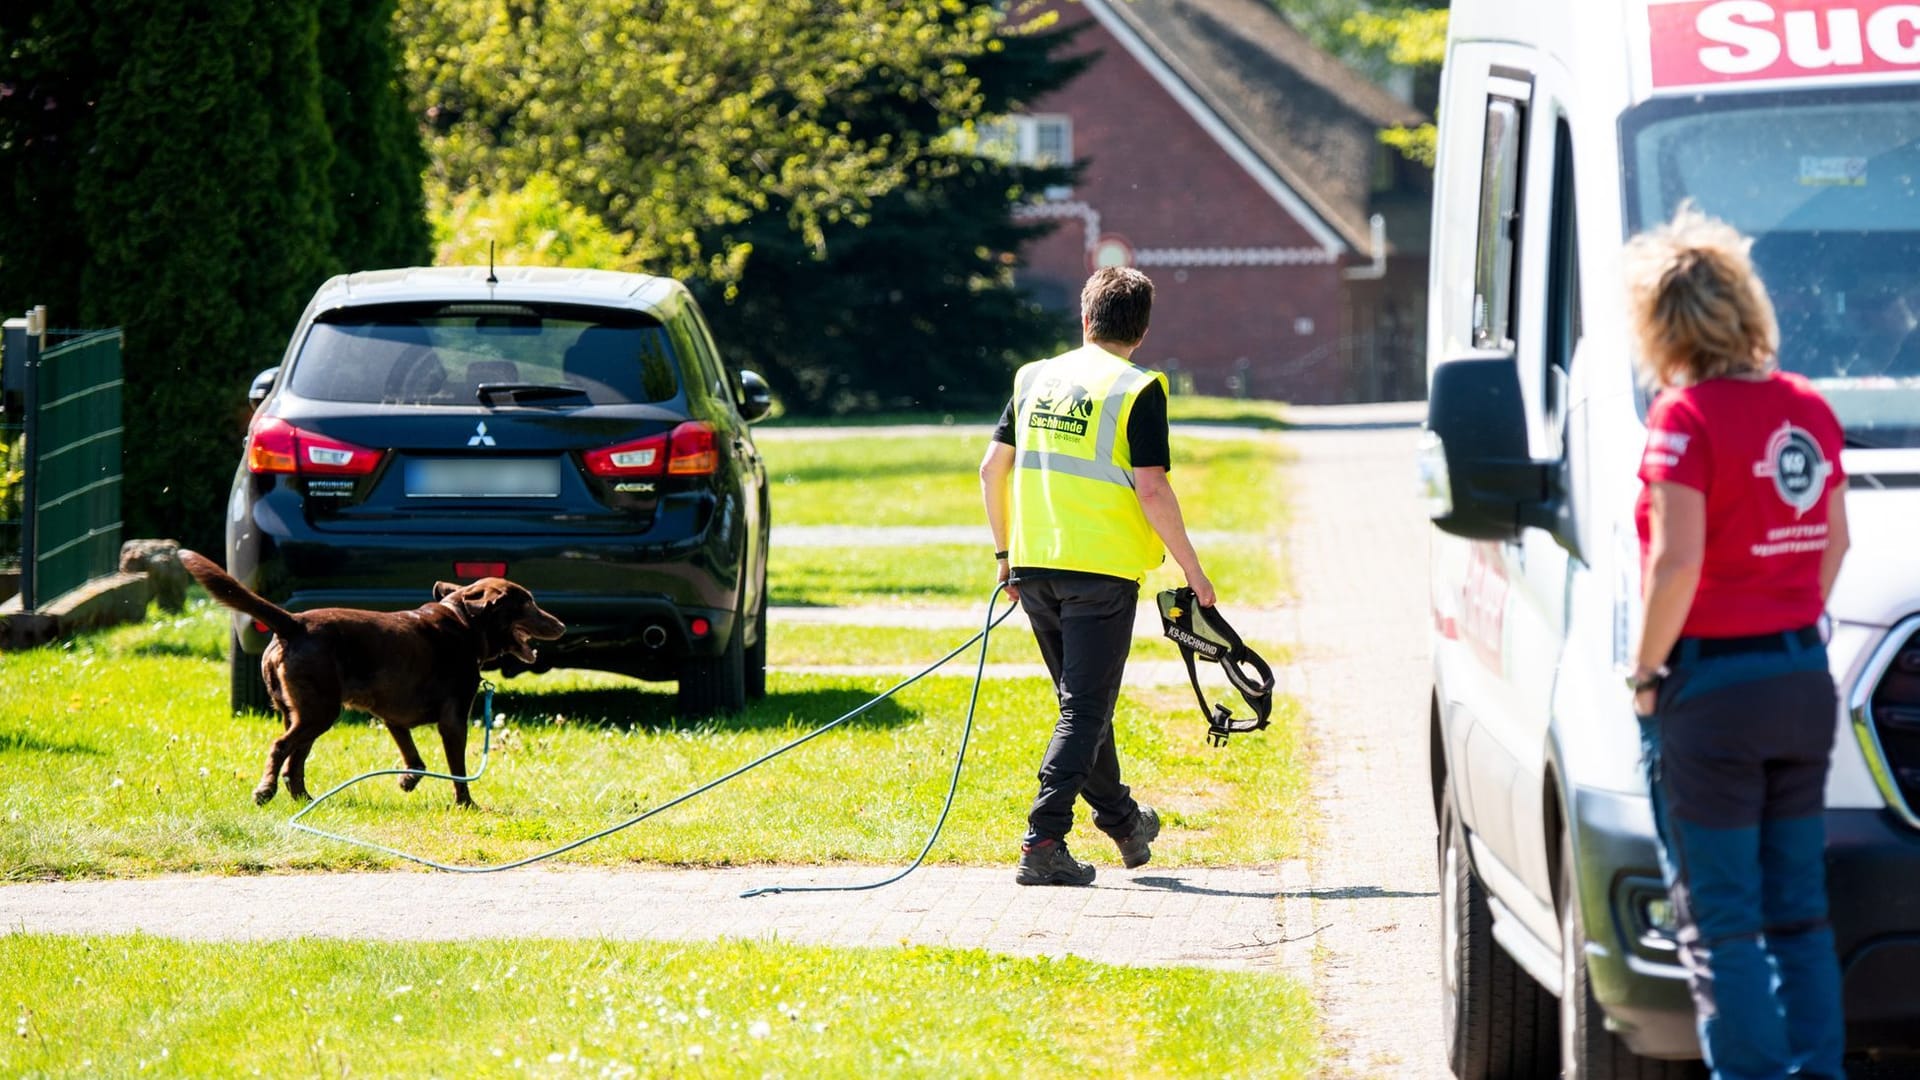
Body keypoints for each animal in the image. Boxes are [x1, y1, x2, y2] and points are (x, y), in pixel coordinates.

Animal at [175, 549, 564, 803]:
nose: (560, 625)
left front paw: (407, 782)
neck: (465, 622)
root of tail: (293, 623)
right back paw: (266, 791)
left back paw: (305, 799)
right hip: (319, 710)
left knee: (295, 759)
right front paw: (466, 804)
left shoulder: (393, 717)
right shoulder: (453, 719)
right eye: (528, 603)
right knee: (281, 747)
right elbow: (457, 768)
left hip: (302, 711)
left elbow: (416, 760)